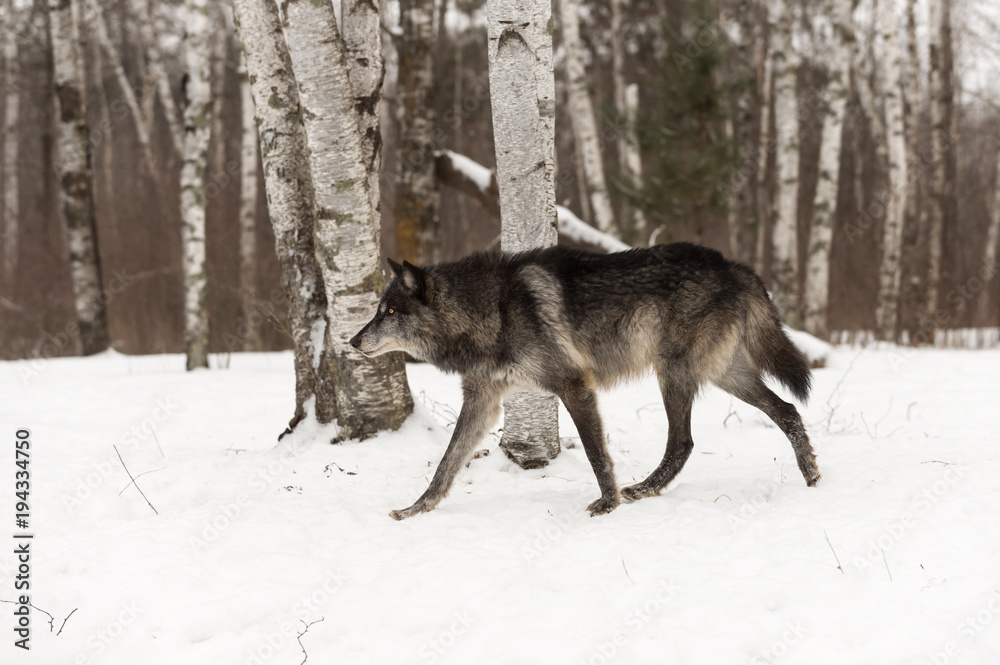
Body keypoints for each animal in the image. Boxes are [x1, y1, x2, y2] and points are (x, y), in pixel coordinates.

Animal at [350, 243, 820, 520]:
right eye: (378, 310)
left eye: (390, 312)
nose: (353, 340)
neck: (490, 310)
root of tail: (734, 265)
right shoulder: (482, 401)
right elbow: (447, 462)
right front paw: (417, 508)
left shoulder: (573, 386)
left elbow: (597, 455)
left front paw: (608, 504)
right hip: (721, 373)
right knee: (786, 410)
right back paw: (811, 474)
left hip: (676, 373)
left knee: (683, 441)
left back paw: (643, 489)